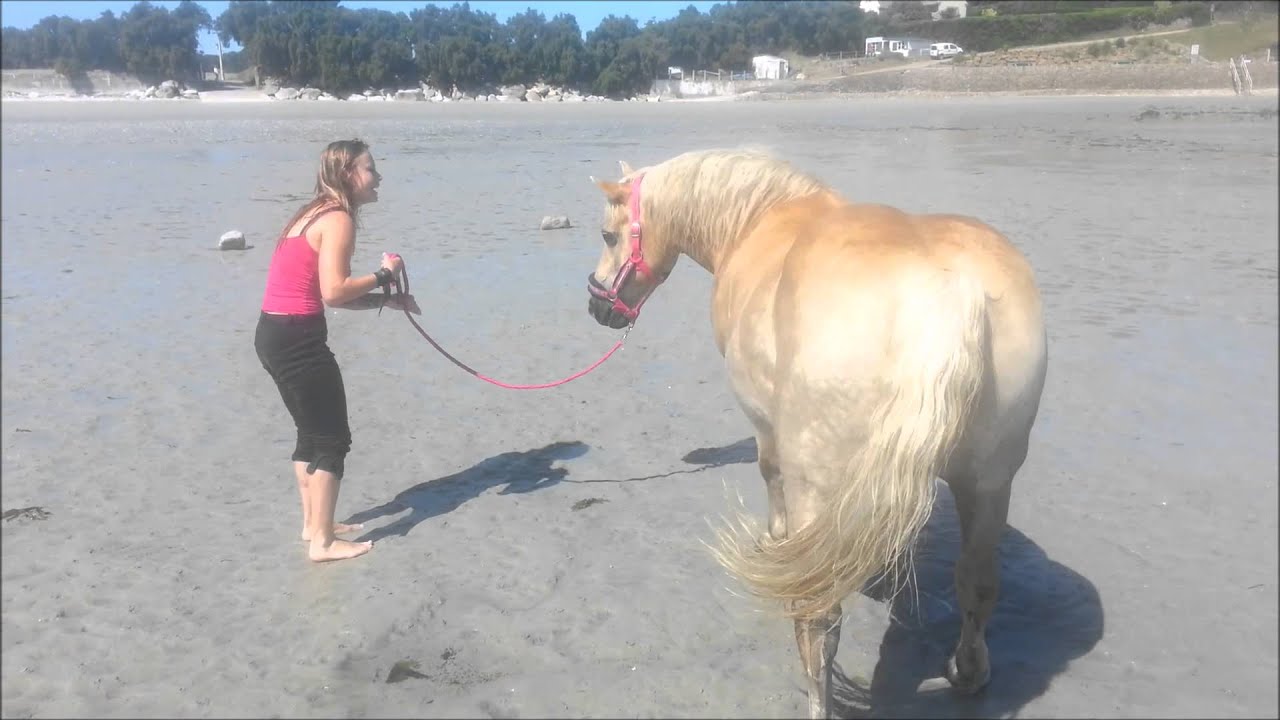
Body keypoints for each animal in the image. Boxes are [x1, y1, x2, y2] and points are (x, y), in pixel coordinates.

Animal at [584, 148, 1048, 719]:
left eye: (607, 235)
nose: (598, 306)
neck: (760, 219)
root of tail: (945, 290)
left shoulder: (765, 426)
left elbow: (770, 476)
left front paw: (774, 540)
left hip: (821, 481)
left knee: (819, 617)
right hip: (988, 482)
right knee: (978, 583)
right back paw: (969, 671)